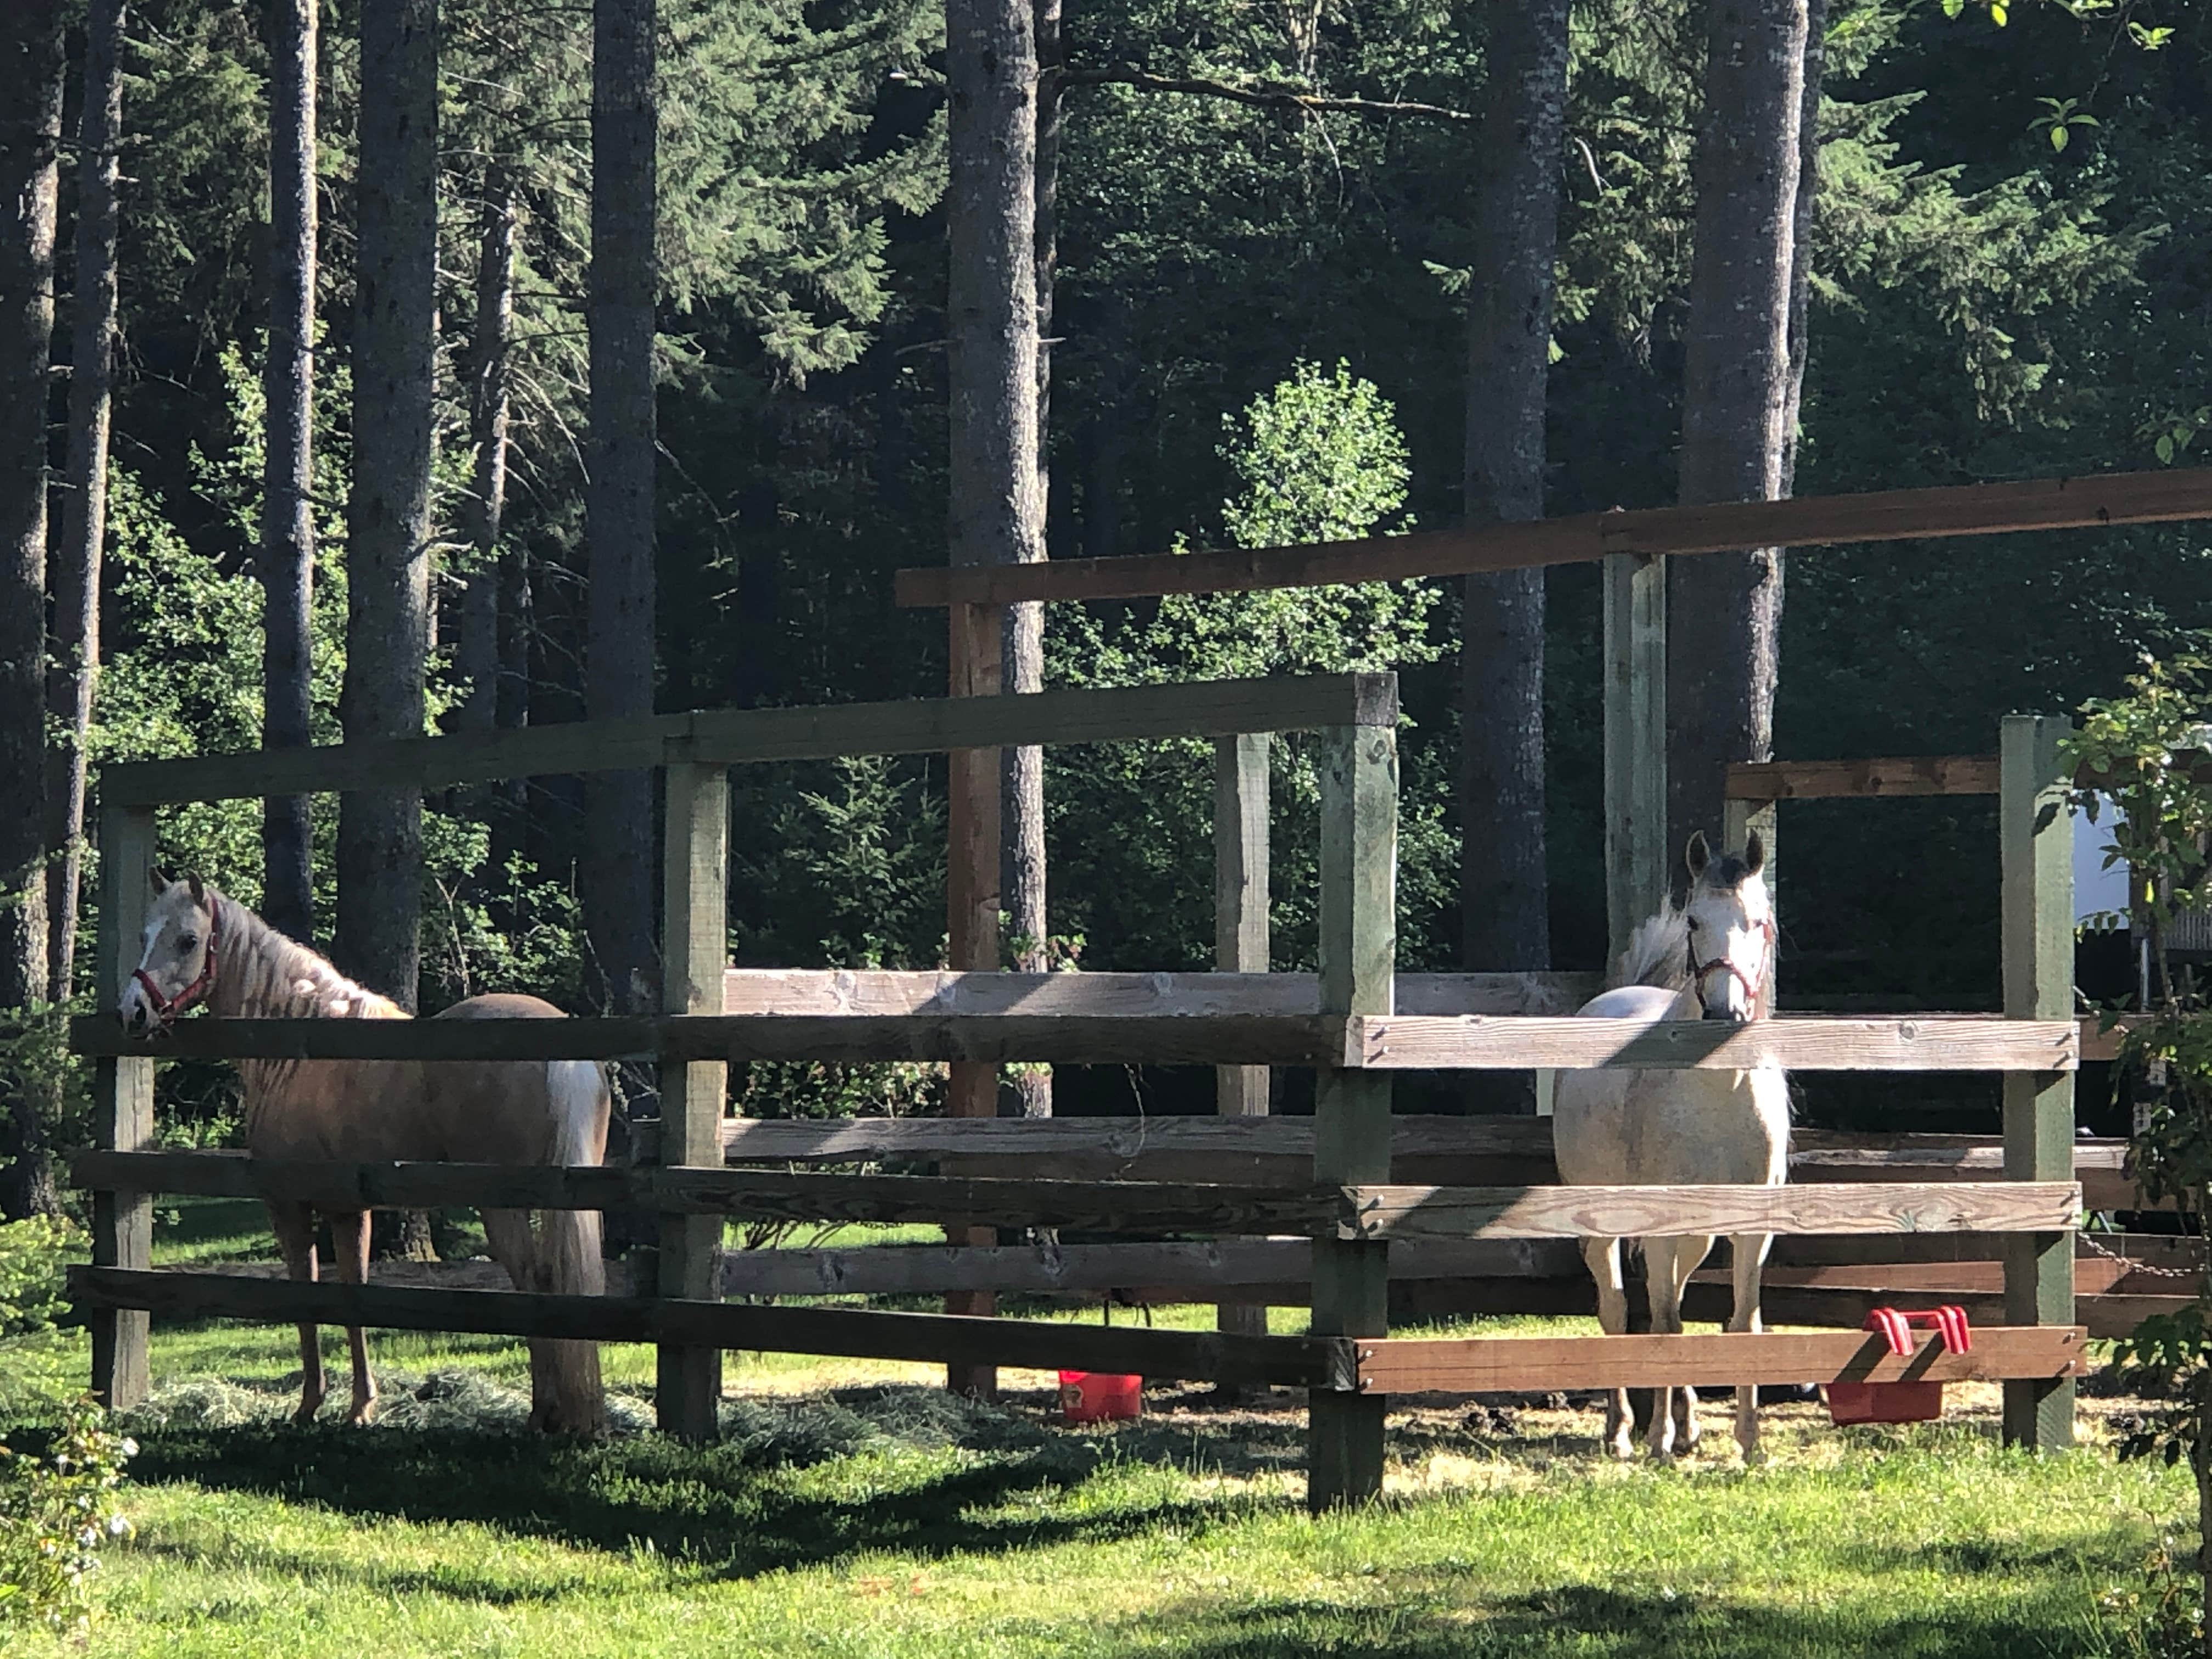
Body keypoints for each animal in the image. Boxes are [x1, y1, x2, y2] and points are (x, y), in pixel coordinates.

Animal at [118, 872, 611, 1434]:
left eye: (188, 941)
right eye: (145, 935)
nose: (133, 1012)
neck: (298, 1048)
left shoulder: (290, 1206)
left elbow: (308, 1295)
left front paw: (310, 1404)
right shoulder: (349, 1209)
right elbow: (354, 1295)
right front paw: (360, 1406)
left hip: (503, 1207)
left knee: (535, 1281)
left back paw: (543, 1412)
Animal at [1552, 831, 1786, 1463]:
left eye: (1759, 922)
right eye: (1694, 921)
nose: (1724, 1014)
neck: (1717, 1089)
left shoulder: (1752, 1226)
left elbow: (1742, 1325)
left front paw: (1749, 1444)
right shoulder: (1657, 1222)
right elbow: (1662, 1324)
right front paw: (1655, 1439)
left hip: (1698, 1234)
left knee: (1674, 1297)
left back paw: (1688, 1426)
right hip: (1603, 1219)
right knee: (1618, 1309)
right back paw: (1623, 1432)